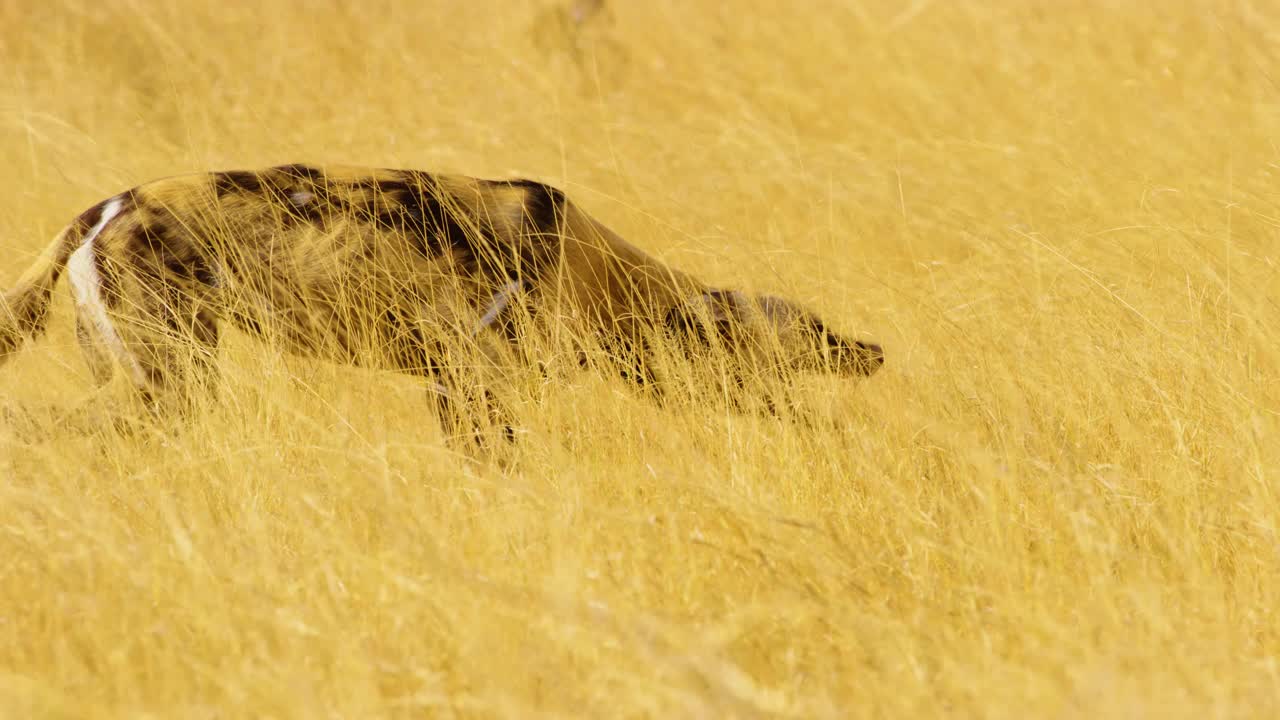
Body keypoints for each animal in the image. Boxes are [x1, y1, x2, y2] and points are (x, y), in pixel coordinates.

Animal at [0, 165, 880, 440]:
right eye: (810, 337)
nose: (871, 351)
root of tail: (105, 205)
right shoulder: (472, 389)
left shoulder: (459, 393)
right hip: (167, 380)